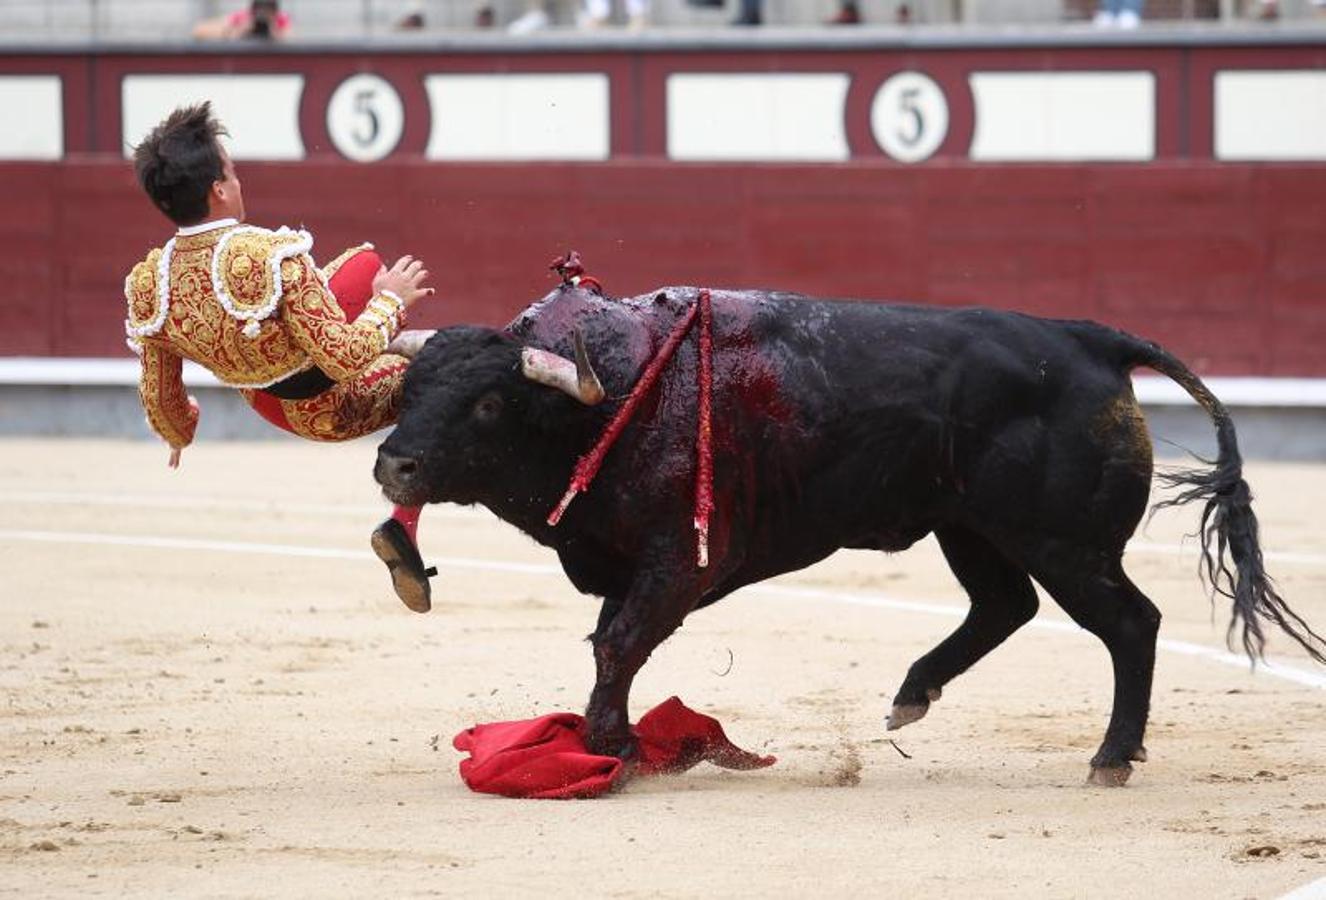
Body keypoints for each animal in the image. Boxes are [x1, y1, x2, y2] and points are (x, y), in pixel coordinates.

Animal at [376, 284, 1326, 784]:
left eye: (488, 403)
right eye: (408, 392)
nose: (394, 464)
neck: (612, 397)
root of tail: (1086, 340)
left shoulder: (679, 560)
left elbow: (619, 641)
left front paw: (614, 745)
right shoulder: (627, 563)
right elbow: (616, 640)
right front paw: (614, 736)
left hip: (1064, 543)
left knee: (1130, 623)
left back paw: (1111, 759)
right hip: (970, 527)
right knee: (1005, 607)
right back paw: (911, 695)